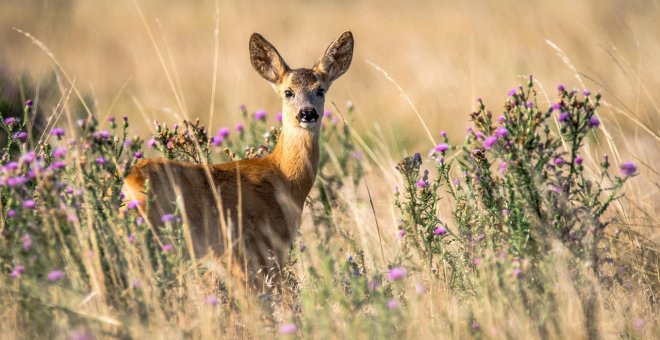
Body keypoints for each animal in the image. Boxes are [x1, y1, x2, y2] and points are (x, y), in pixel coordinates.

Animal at [121, 31, 354, 286]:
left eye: (320, 90)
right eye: (288, 92)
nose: (307, 113)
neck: (283, 177)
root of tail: (130, 181)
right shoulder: (259, 247)